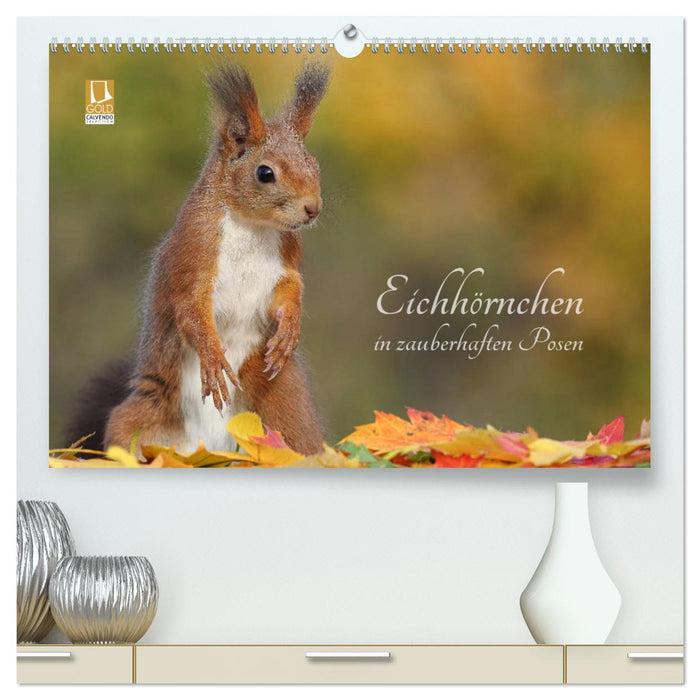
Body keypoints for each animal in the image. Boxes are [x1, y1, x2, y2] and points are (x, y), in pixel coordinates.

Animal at [67, 64, 329, 457]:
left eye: (314, 165)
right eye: (265, 173)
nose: (313, 209)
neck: (253, 226)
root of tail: (210, 449)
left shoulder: (286, 261)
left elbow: (289, 290)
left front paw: (289, 329)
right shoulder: (193, 254)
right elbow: (191, 309)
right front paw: (213, 358)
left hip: (285, 407)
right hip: (141, 418)